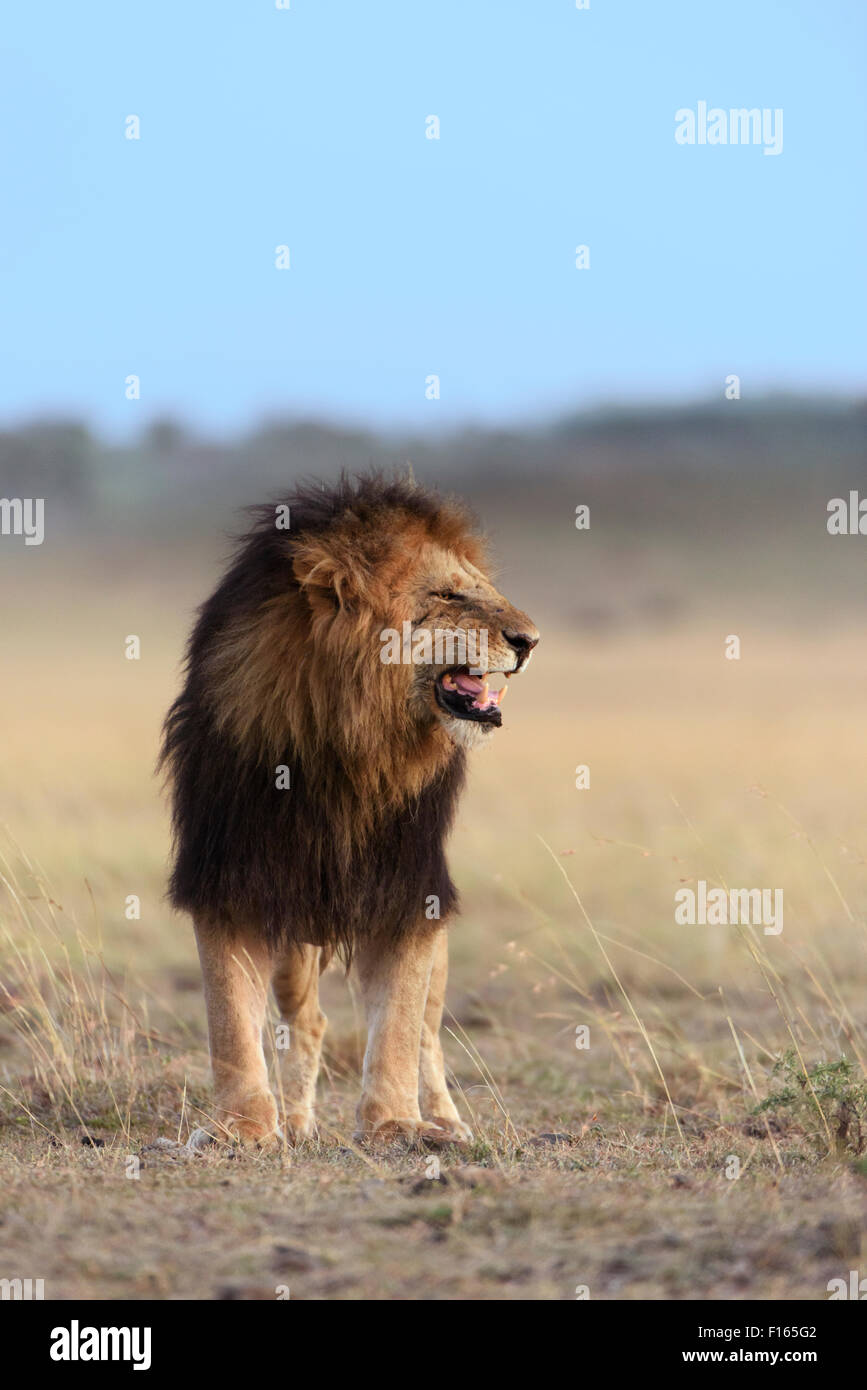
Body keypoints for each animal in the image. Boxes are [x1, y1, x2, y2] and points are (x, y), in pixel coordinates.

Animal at [155, 472, 536, 1145]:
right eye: (447, 594)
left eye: (484, 591)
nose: (531, 641)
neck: (351, 745)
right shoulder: (230, 881)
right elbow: (229, 1020)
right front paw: (242, 1129)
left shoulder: (411, 889)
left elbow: (400, 1025)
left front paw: (396, 1124)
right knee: (307, 1023)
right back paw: (297, 1122)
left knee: (428, 1032)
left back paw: (444, 1120)